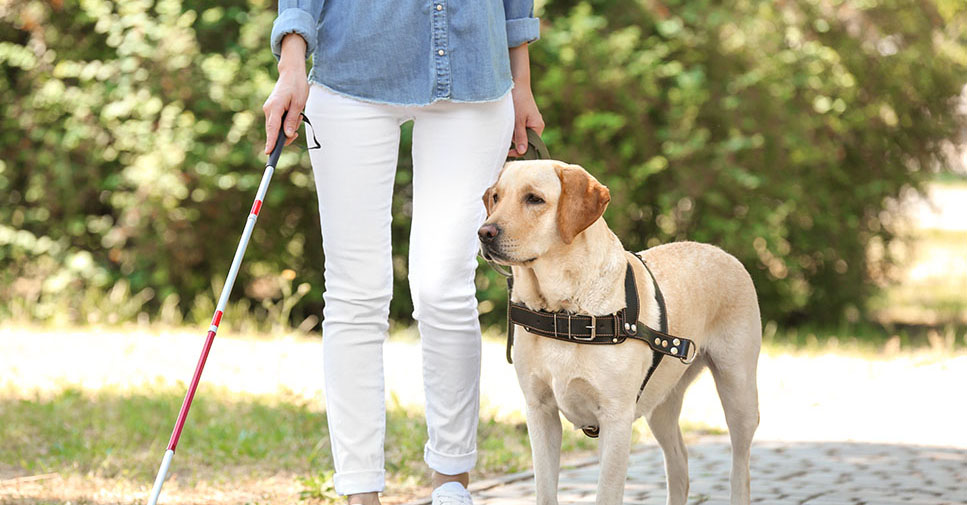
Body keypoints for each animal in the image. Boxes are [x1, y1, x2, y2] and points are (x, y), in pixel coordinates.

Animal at [480, 160, 760, 504]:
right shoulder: (539, 411)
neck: (563, 312)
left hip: (739, 391)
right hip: (660, 404)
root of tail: (723, 252)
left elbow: (607, 494)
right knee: (679, 462)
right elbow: (545, 492)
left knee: (740, 468)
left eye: (534, 199)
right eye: (496, 197)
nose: (484, 232)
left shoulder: (616, 418)